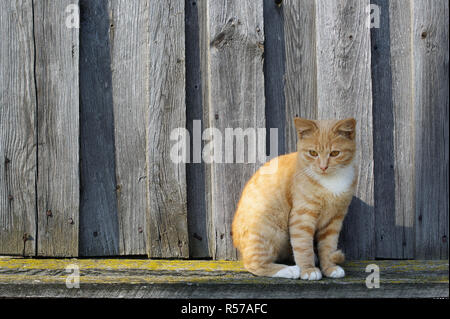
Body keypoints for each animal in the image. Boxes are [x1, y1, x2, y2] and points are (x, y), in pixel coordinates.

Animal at [230, 117, 356, 280]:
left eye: (335, 153)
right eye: (313, 153)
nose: (323, 167)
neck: (330, 181)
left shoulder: (334, 220)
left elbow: (328, 246)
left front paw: (329, 267)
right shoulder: (302, 216)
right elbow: (303, 246)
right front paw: (308, 270)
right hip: (268, 230)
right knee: (254, 263)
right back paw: (289, 270)